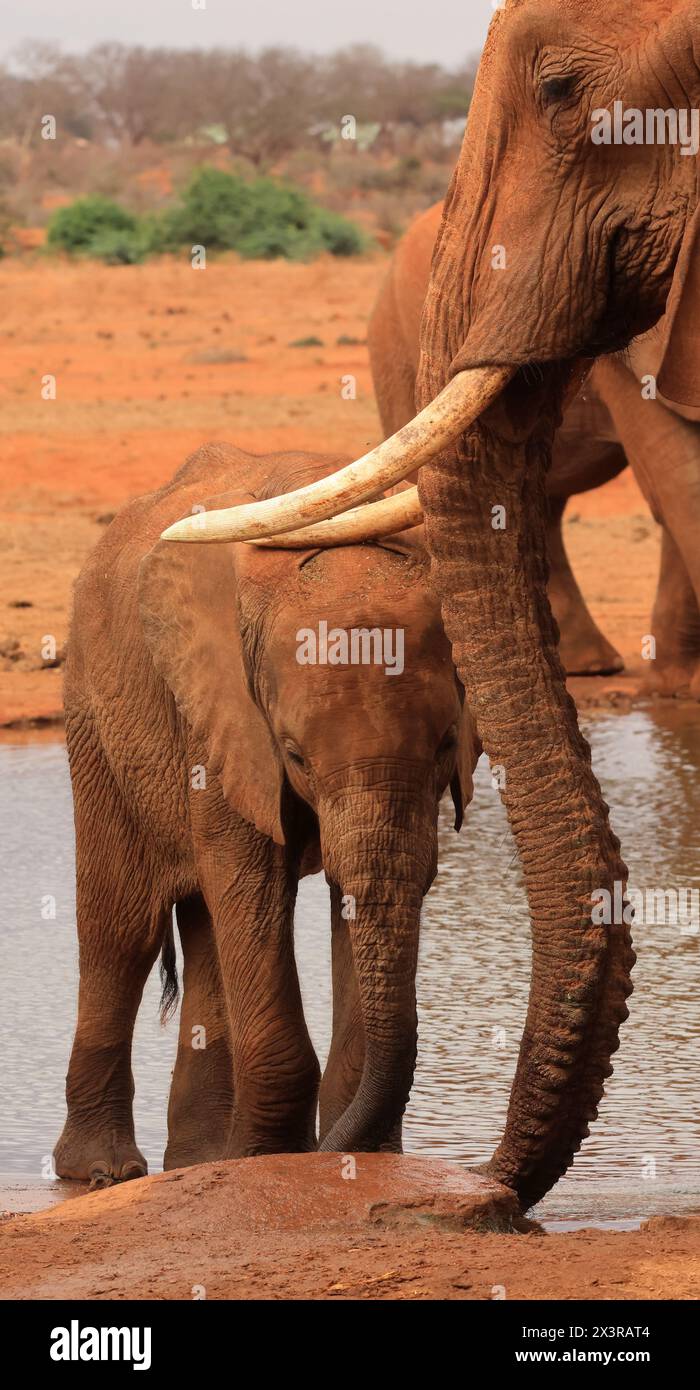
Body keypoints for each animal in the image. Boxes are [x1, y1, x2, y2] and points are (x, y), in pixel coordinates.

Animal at [55, 442, 474, 1184]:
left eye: (447, 744)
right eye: (294, 754)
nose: (335, 1148)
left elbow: (344, 891)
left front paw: (348, 1159)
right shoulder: (222, 713)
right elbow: (251, 880)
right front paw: (273, 1161)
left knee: (203, 928)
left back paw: (196, 1164)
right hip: (93, 714)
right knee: (121, 930)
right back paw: (103, 1172)